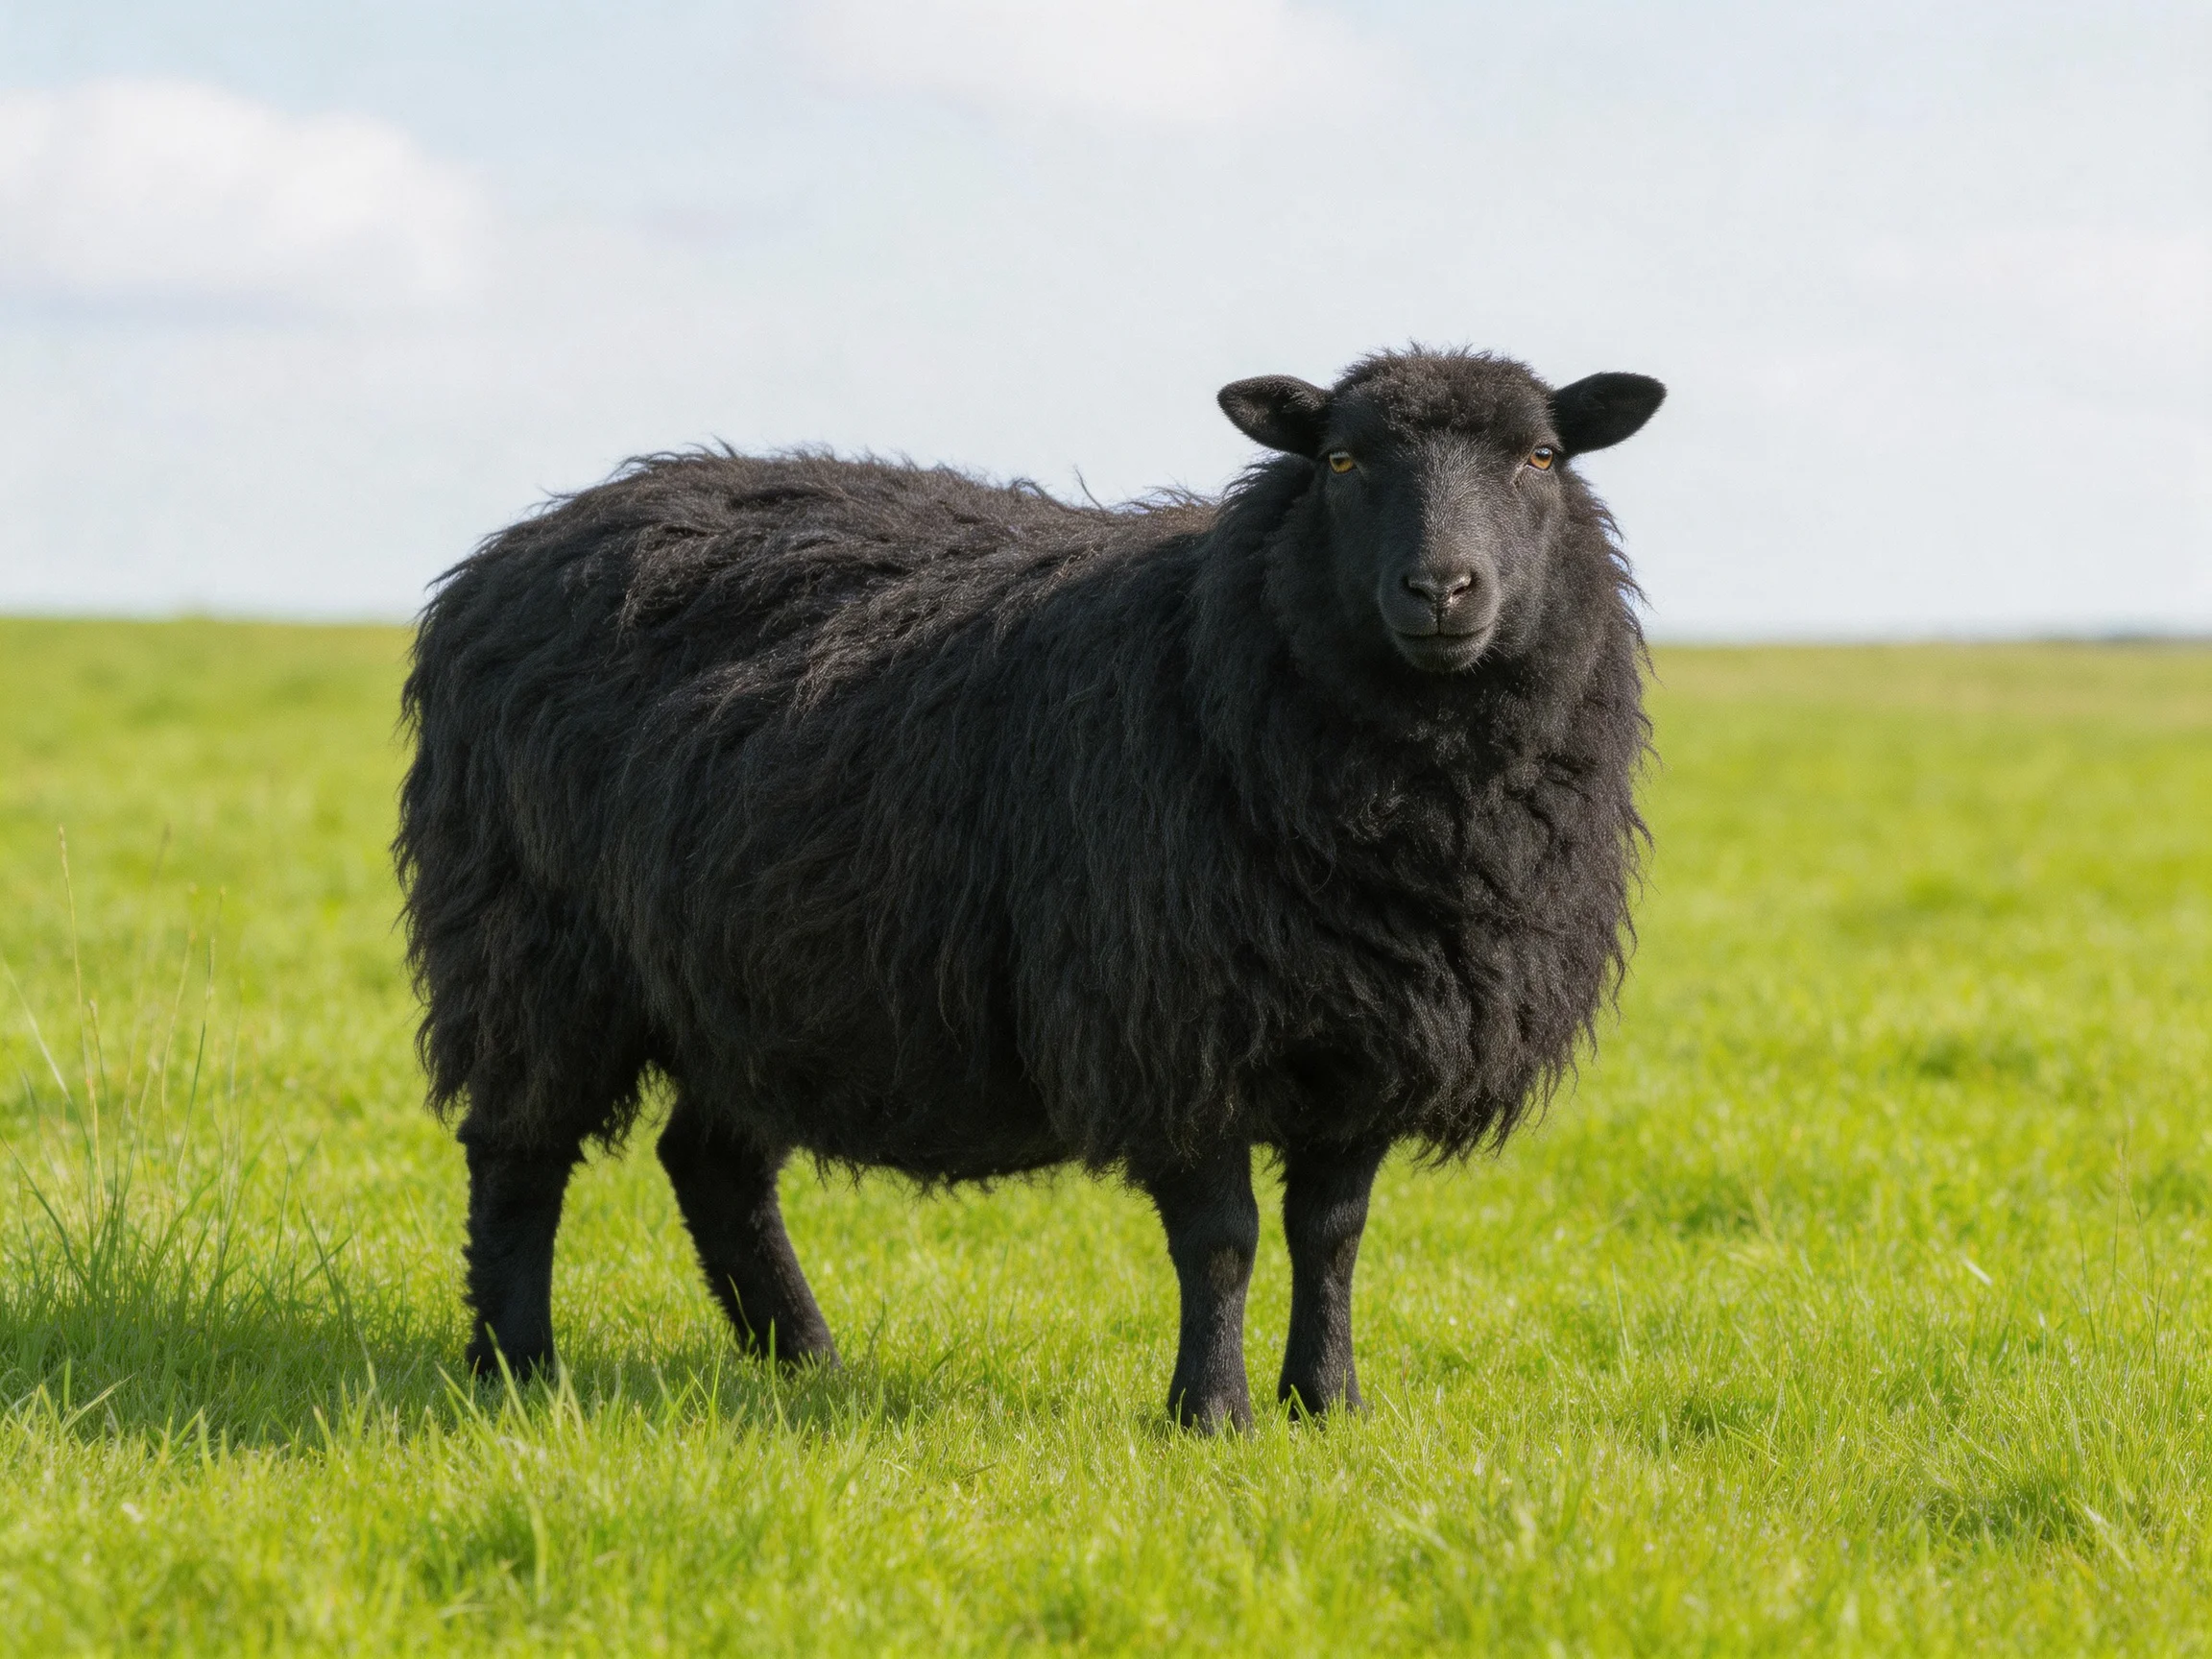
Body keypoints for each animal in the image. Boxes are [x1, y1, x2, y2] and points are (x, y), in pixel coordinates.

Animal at [396, 347, 1664, 1429]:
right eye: (1343, 462)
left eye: (1539, 457)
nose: (1442, 589)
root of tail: (505, 553)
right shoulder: (1170, 1023)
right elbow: (1225, 1238)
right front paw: (1212, 1415)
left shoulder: (1367, 1031)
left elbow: (1333, 1234)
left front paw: (1328, 1404)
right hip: (534, 943)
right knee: (518, 1155)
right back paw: (516, 1367)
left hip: (743, 973)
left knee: (712, 1163)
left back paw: (804, 1361)